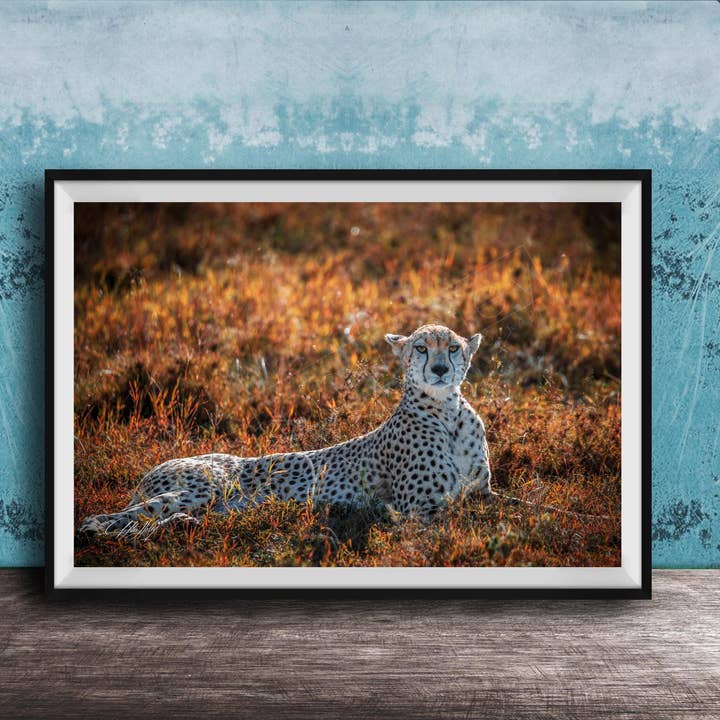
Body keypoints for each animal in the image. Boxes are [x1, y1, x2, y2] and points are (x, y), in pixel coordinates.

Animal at [78, 324, 492, 536]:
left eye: (453, 348)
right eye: (421, 348)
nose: (439, 369)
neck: (447, 411)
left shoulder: (482, 493)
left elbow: (500, 507)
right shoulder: (419, 510)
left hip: (219, 505)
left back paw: (181, 526)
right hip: (202, 488)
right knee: (100, 522)